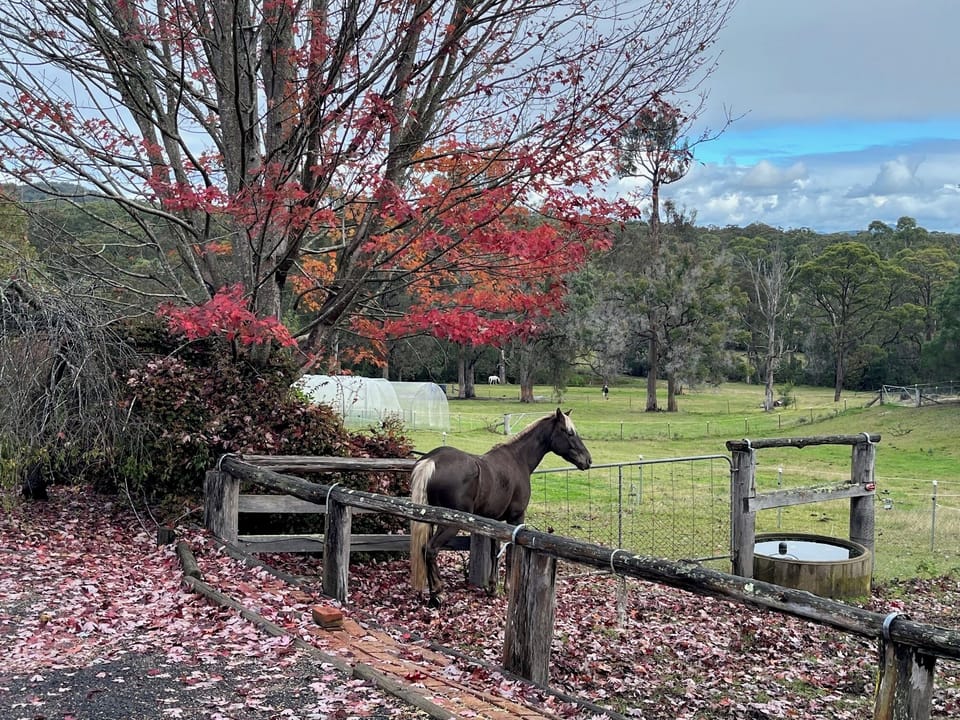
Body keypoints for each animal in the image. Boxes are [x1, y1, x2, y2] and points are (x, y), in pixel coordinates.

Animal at [409, 408, 592, 607]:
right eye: (569, 432)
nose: (588, 460)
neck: (518, 460)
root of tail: (431, 461)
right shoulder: (515, 519)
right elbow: (510, 553)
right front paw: (507, 588)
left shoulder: (493, 521)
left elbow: (494, 552)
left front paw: (492, 587)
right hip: (449, 525)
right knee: (430, 550)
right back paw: (438, 592)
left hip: (429, 519)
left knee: (423, 550)